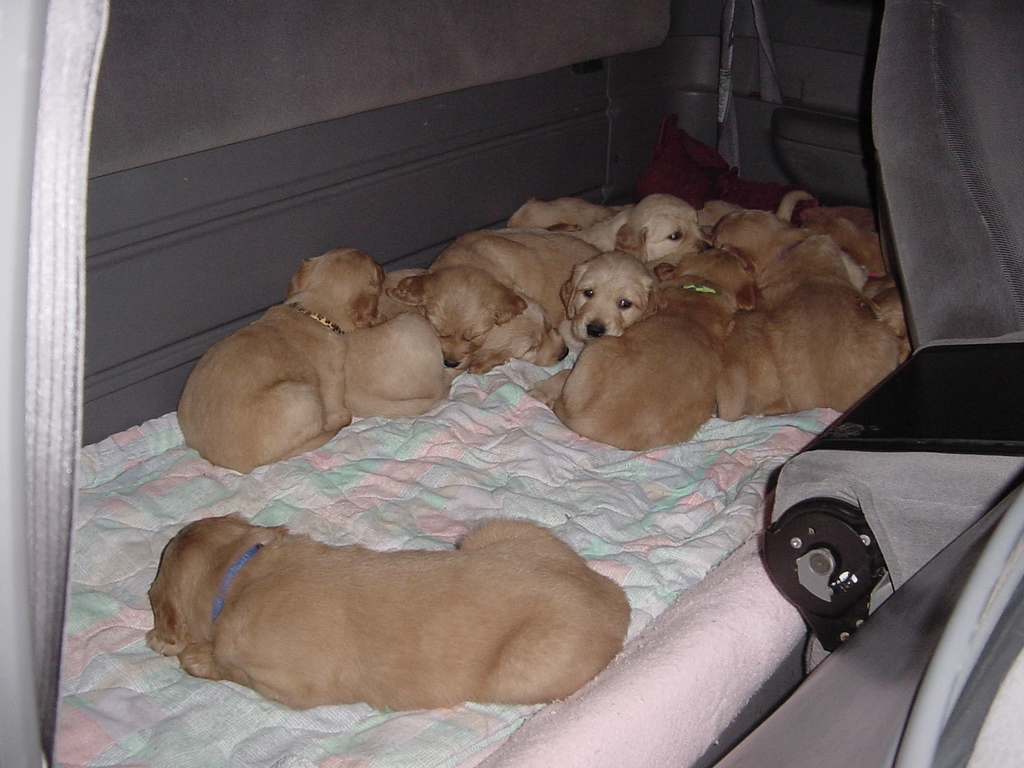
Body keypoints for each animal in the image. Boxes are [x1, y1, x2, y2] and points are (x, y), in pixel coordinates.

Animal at [147, 514, 626, 712]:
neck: (239, 572)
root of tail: (615, 596)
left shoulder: (288, 684)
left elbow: (225, 665)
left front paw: (187, 654)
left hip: (524, 670)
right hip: (496, 533)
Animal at [536, 246, 761, 450]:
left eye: (625, 304)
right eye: (588, 293)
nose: (594, 329)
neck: (703, 288)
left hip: (599, 347)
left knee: (566, 373)